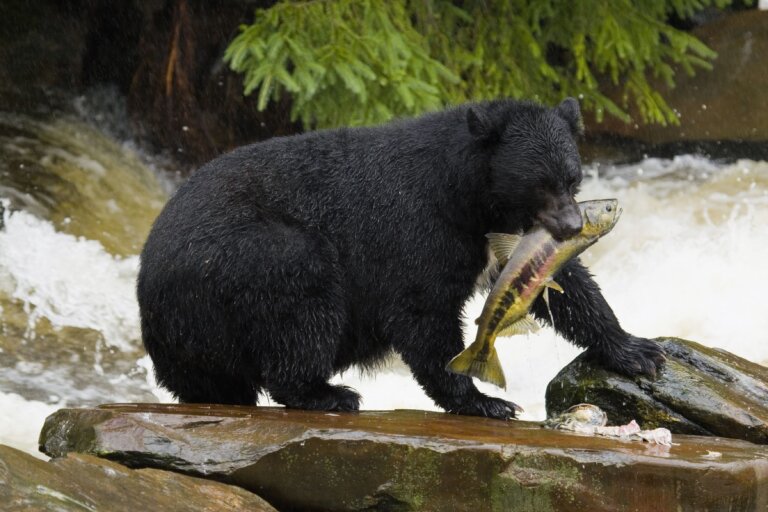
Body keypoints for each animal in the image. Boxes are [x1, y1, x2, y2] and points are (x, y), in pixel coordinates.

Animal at [138, 98, 664, 418]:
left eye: (573, 179)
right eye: (541, 183)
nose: (573, 226)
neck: (469, 195)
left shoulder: (513, 235)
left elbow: (565, 282)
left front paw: (638, 350)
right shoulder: (416, 227)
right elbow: (422, 311)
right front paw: (482, 399)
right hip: (246, 259)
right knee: (300, 296)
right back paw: (327, 393)